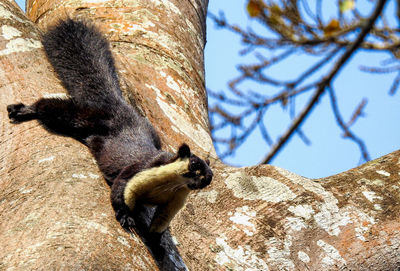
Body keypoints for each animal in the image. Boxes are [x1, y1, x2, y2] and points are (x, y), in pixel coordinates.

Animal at [6, 18, 212, 240]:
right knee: (52, 108)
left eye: (209, 177)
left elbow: (159, 225)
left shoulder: (173, 202)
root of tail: (119, 106)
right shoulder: (140, 169)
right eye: (193, 164)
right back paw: (24, 109)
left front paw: (157, 241)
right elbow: (120, 190)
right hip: (89, 118)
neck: (171, 184)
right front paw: (126, 217)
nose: (203, 181)